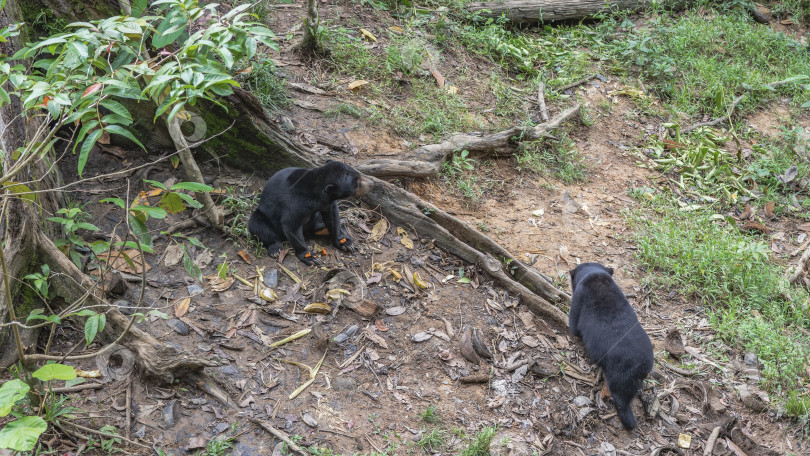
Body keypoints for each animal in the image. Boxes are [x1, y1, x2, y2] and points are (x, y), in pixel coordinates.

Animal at [564, 262, 652, 430]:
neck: (595, 275)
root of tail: (642, 366)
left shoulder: (578, 299)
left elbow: (573, 325)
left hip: (619, 375)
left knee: (621, 399)